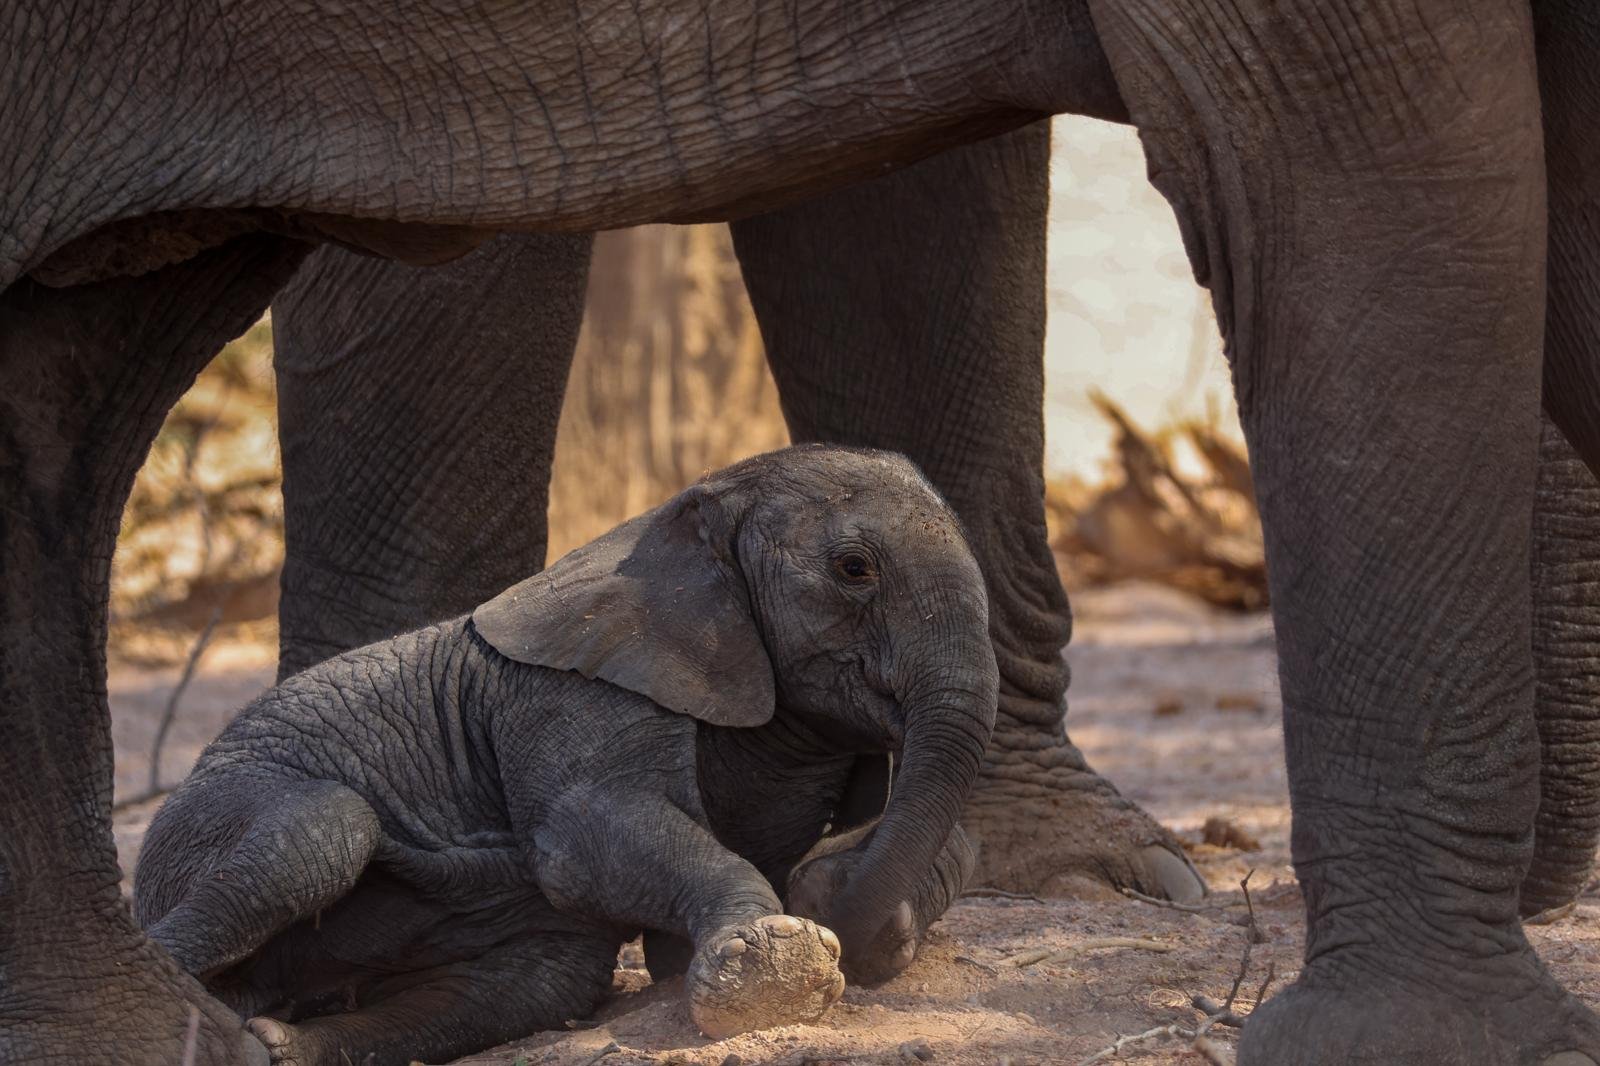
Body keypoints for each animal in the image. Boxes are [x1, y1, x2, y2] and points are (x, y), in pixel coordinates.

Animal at [131, 444, 996, 1066]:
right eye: (854, 570)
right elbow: (585, 835)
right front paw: (777, 964)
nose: (837, 891)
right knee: (324, 829)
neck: (680, 517)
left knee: (539, 980)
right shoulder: (569, 697)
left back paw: (272, 1043)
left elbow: (949, 838)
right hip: (199, 823)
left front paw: (833, 907)